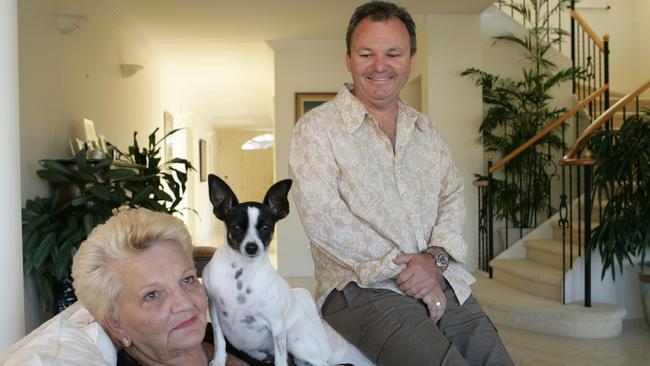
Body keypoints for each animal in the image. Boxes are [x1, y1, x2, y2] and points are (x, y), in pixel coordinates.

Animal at [205, 174, 372, 366]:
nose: (251, 247)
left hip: (293, 339)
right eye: (236, 227)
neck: (241, 273)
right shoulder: (215, 312)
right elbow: (219, 340)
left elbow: (280, 358)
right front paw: (218, 360)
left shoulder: (277, 327)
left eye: (266, 227)